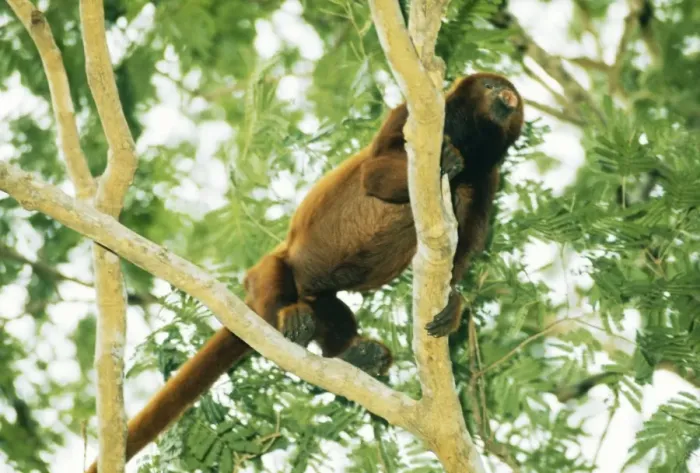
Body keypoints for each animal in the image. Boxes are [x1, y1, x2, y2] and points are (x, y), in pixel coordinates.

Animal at [85, 72, 524, 473]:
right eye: (489, 87)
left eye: (511, 93)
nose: (506, 96)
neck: (468, 137)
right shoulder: (409, 116)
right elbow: (375, 172)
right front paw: (446, 161)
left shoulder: (489, 175)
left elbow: (465, 245)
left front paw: (453, 303)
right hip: (268, 271)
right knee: (274, 289)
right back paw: (289, 319)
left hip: (319, 297)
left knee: (333, 309)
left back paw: (354, 355)